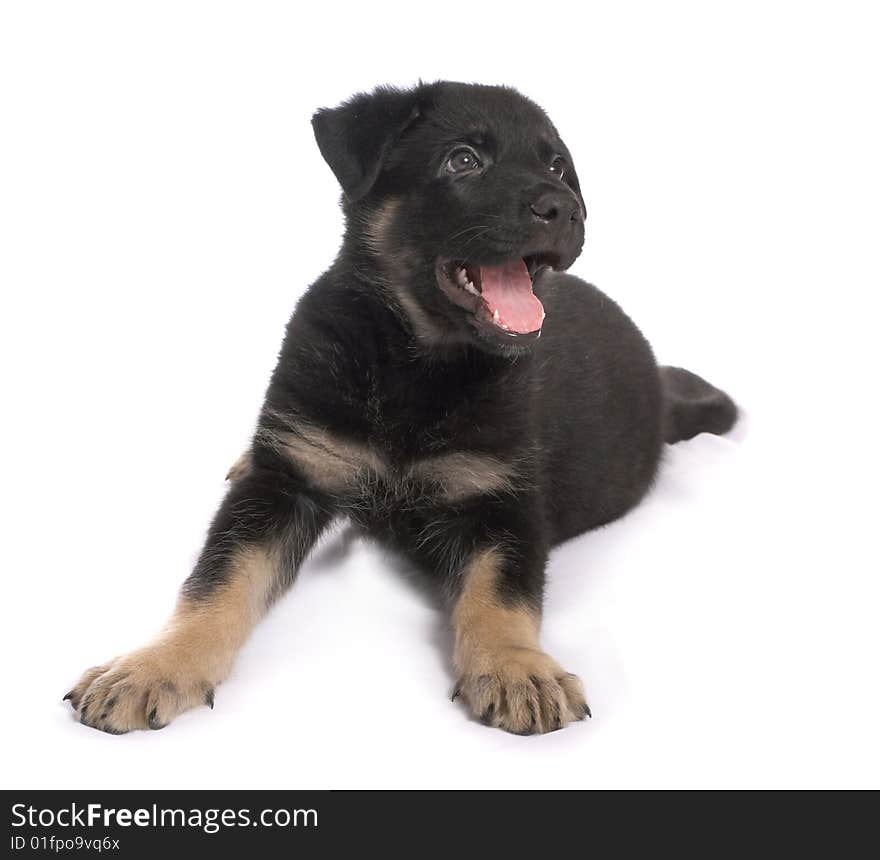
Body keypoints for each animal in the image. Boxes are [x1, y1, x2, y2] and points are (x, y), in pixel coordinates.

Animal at [63, 84, 736, 736]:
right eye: (462, 161)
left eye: (556, 166)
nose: (567, 209)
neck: (415, 363)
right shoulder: (286, 481)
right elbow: (217, 582)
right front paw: (153, 668)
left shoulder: (504, 500)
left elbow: (502, 594)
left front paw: (517, 669)